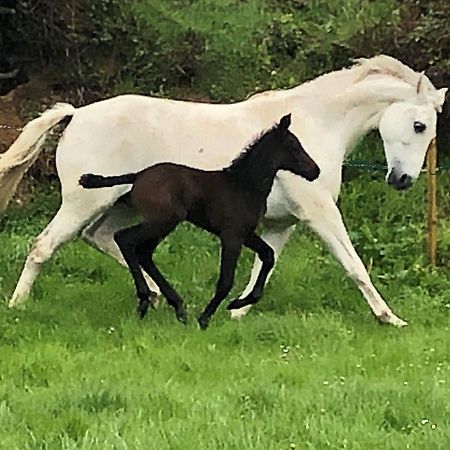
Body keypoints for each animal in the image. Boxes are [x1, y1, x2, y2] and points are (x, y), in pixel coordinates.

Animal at [81, 114, 320, 328]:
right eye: (294, 146)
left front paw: (238, 303)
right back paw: (145, 301)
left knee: (144, 253)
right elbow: (225, 281)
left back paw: (176, 307)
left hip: (163, 223)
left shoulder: (245, 233)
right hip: (163, 220)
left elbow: (268, 255)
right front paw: (205, 318)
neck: (244, 185)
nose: (315, 171)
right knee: (125, 239)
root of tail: (138, 176)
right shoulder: (231, 235)